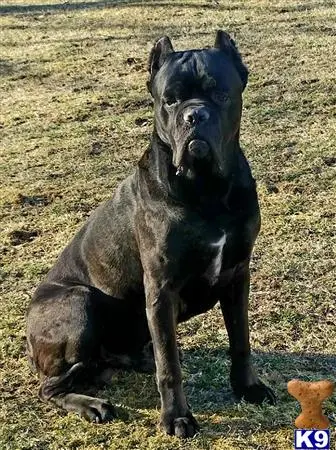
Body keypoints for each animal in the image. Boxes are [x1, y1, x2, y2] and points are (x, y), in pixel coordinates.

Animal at [26, 30, 276, 436]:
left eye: (220, 94)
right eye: (169, 100)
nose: (195, 114)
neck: (206, 189)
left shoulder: (237, 275)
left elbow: (240, 340)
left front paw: (248, 387)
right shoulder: (161, 288)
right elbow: (169, 367)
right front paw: (177, 417)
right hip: (79, 302)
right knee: (51, 387)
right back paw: (92, 404)